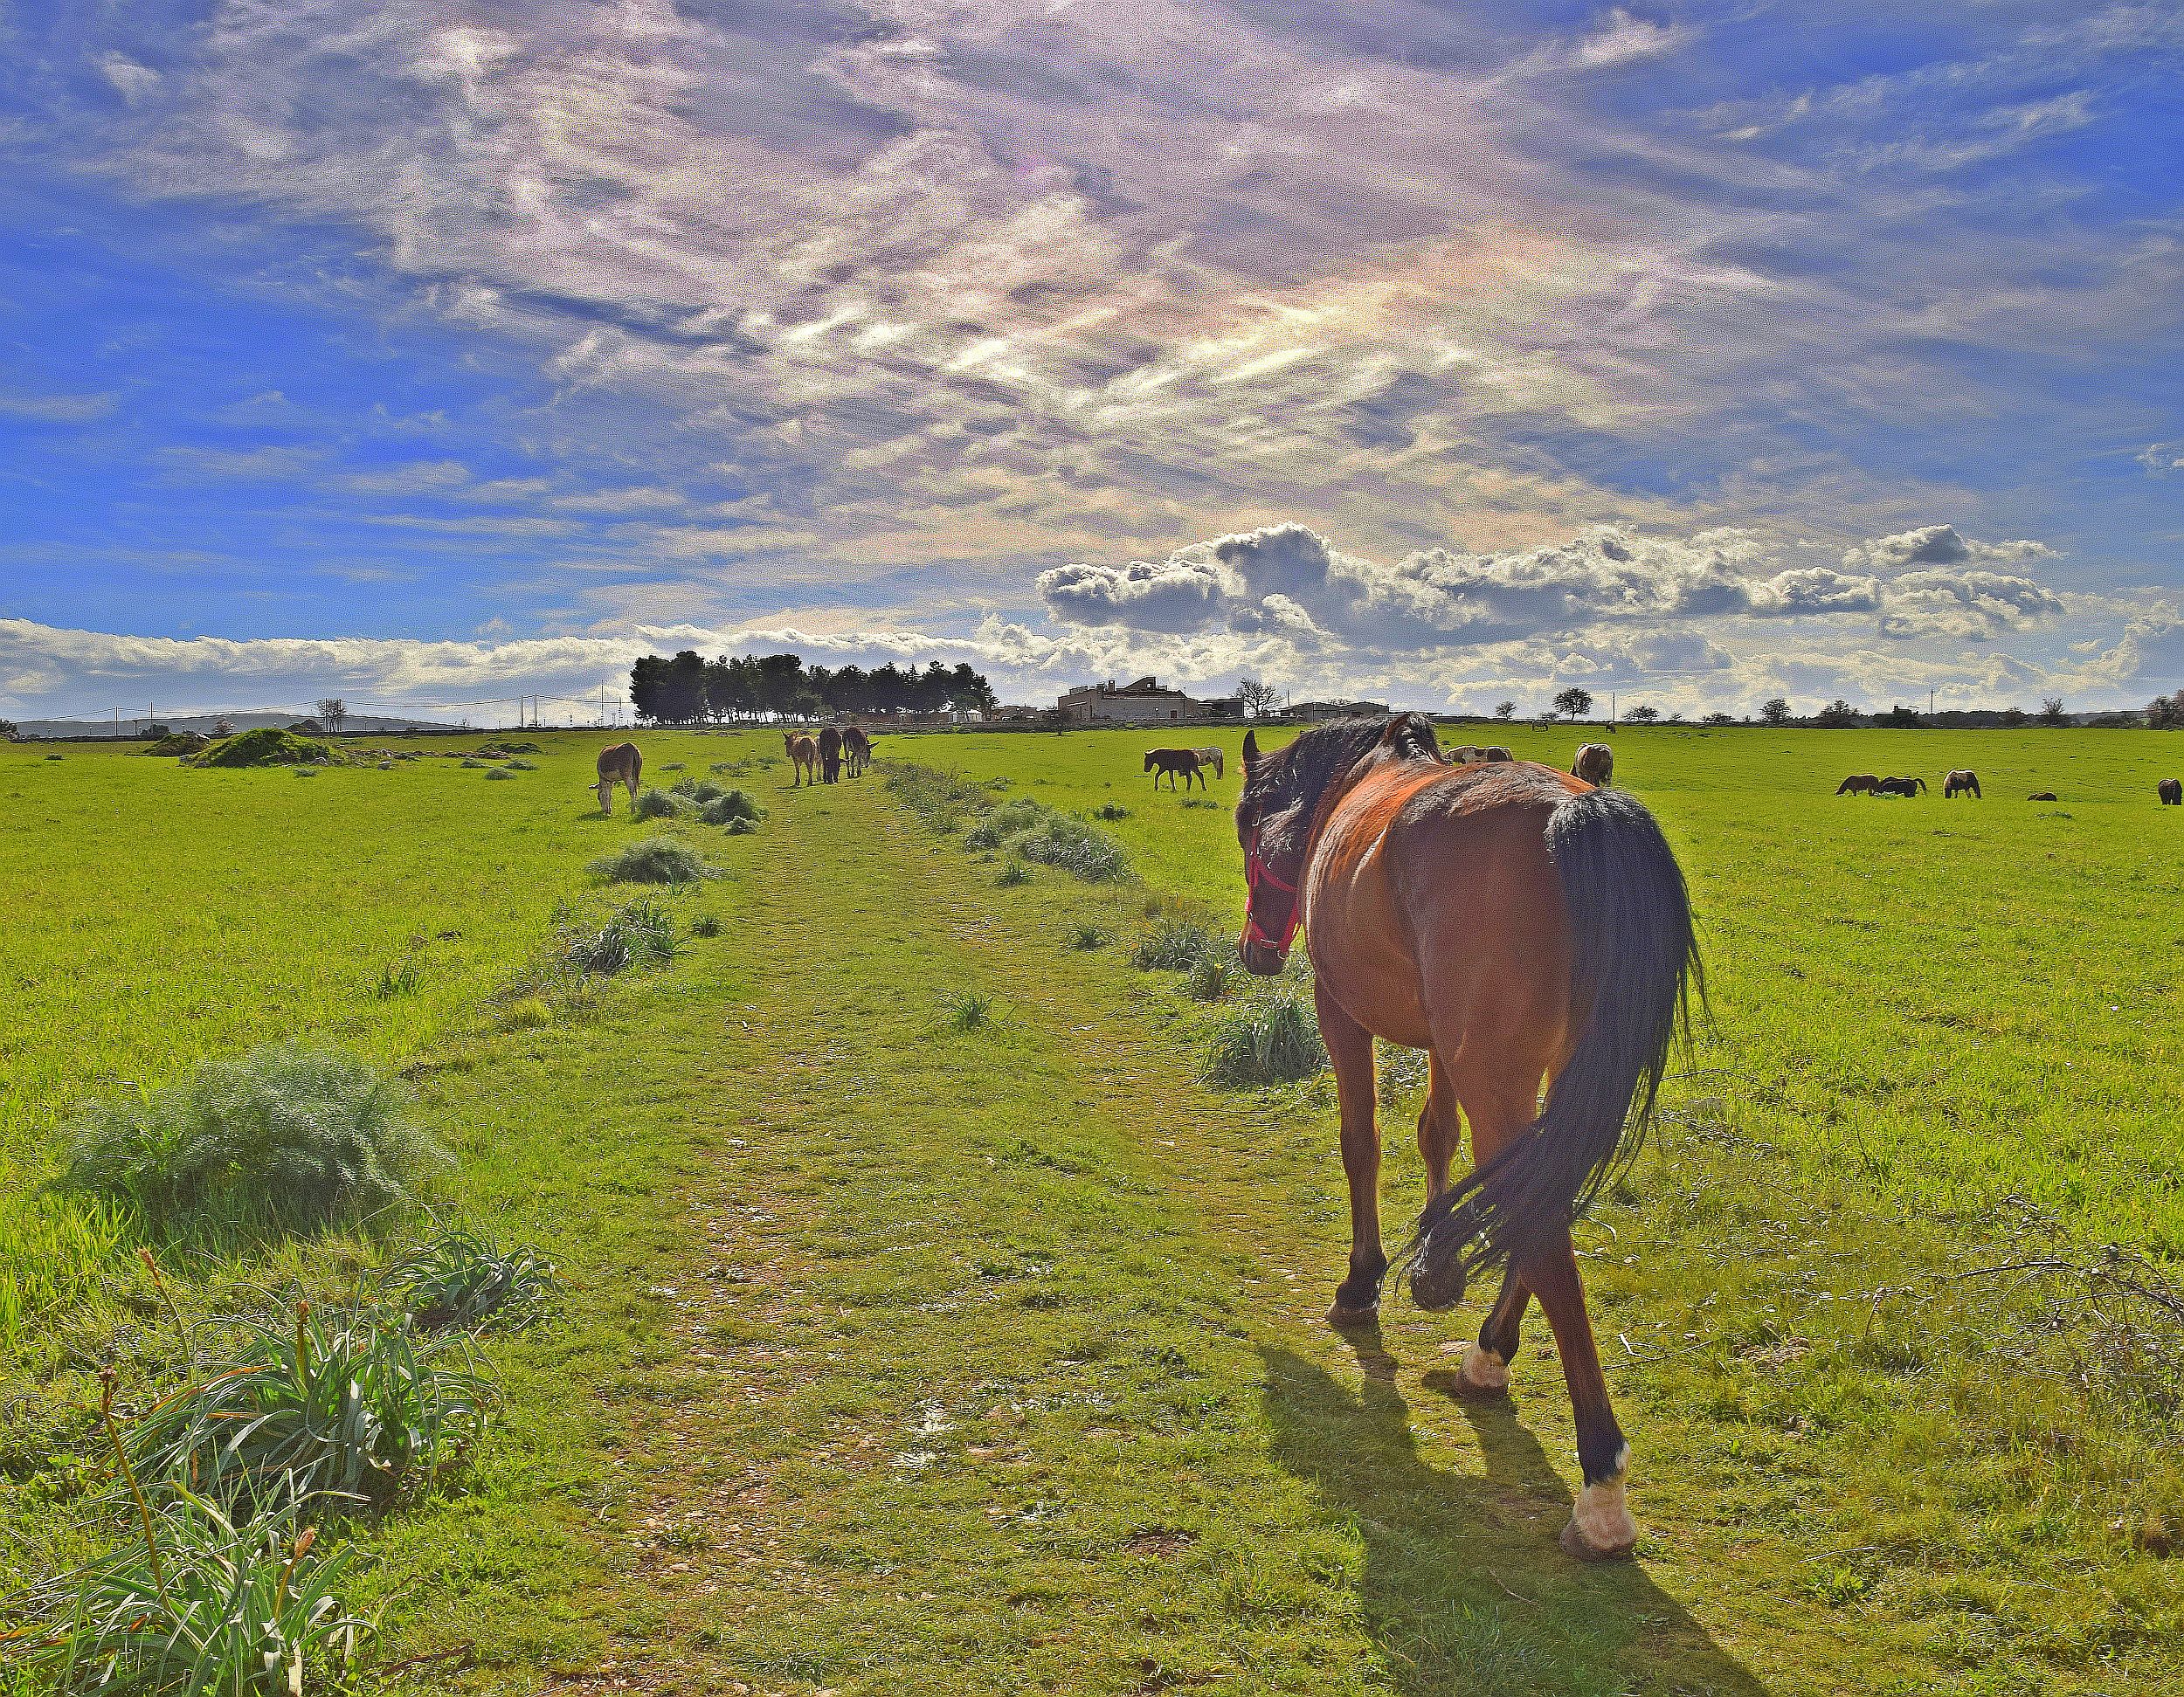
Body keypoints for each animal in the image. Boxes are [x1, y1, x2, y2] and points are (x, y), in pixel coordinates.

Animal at [1241, 716, 1695, 1563]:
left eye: (1250, 830)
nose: (1255, 950)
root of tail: (1574, 811)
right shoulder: (1443, 1042)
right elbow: (1437, 1137)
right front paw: (1436, 1256)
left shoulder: (1339, 1009)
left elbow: (1363, 1141)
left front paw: (1365, 1280)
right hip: (1539, 1067)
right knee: (1537, 1192)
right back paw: (1490, 1351)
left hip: (1493, 1068)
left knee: (1540, 1217)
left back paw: (1599, 1480)